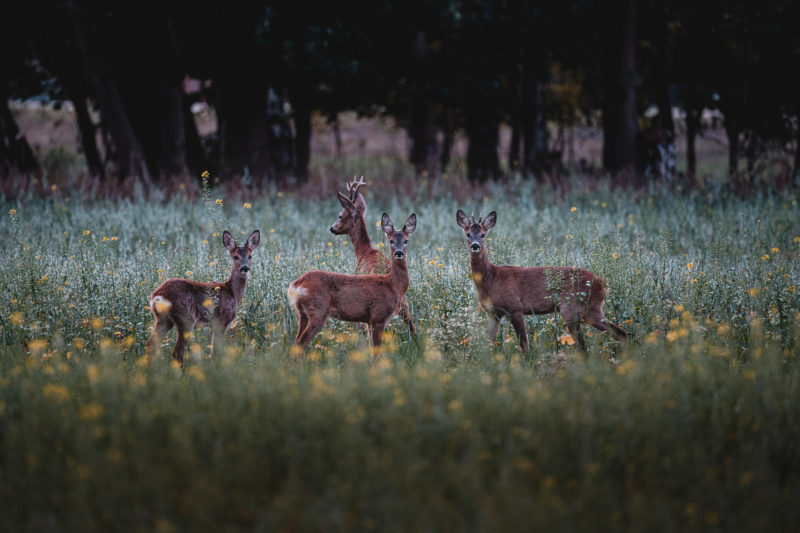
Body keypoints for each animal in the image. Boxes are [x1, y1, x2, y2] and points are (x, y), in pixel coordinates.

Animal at [145, 231, 260, 364]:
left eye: (250, 256)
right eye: (236, 256)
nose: (245, 267)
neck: (233, 293)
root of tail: (157, 295)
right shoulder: (222, 321)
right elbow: (215, 353)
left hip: (163, 319)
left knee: (151, 344)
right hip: (186, 318)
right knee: (178, 352)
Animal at [288, 212, 416, 354]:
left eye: (406, 240)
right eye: (391, 240)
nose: (399, 253)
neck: (393, 285)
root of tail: (296, 285)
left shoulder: (369, 321)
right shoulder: (378, 317)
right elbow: (376, 352)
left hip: (302, 313)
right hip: (318, 310)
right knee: (300, 344)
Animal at [456, 210, 624, 356]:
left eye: (483, 235)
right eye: (468, 234)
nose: (475, 245)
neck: (491, 279)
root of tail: (601, 283)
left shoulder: (515, 306)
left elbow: (525, 345)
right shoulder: (493, 313)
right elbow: (487, 343)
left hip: (572, 308)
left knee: (584, 346)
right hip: (592, 310)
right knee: (621, 333)